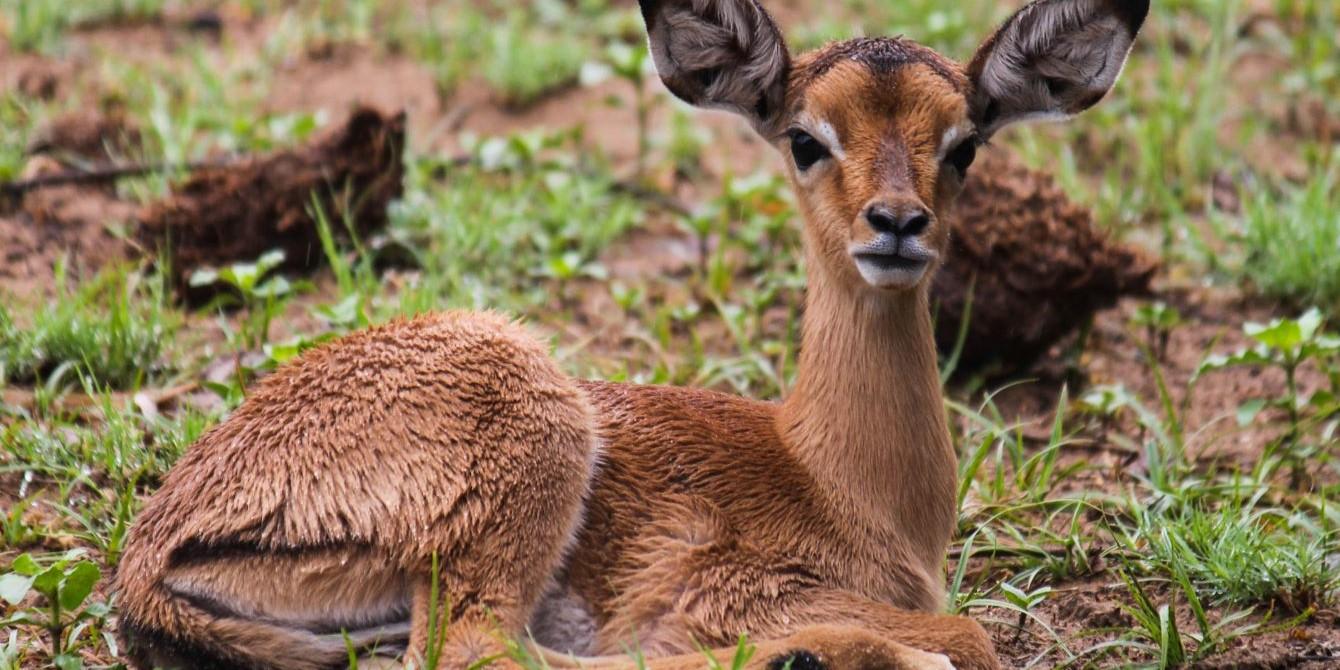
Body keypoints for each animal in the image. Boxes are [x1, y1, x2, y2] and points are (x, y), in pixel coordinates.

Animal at [115, 0, 1147, 668]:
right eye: (805, 138)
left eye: (965, 143)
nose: (896, 224)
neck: (844, 480)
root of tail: (150, 550)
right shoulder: (732, 588)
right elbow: (968, 635)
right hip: (527, 446)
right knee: (480, 650)